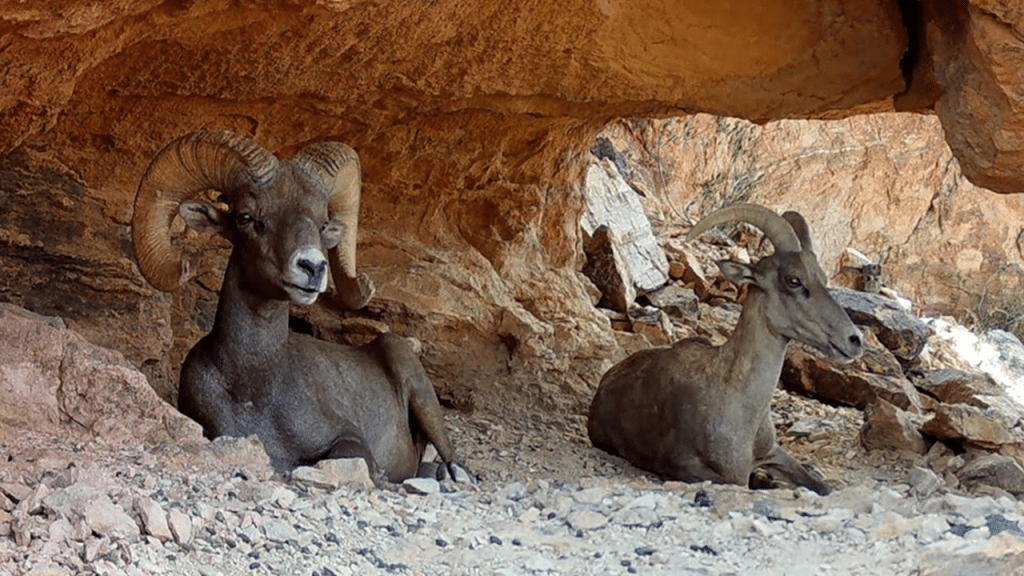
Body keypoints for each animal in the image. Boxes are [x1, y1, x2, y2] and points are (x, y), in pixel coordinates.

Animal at [132, 130, 465, 482]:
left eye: (322, 224)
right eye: (247, 217)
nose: (313, 267)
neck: (255, 393)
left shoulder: (348, 436)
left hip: (419, 390)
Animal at [587, 204, 864, 495]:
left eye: (822, 277)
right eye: (794, 280)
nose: (854, 340)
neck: (740, 409)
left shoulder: (772, 452)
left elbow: (821, 486)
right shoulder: (683, 466)